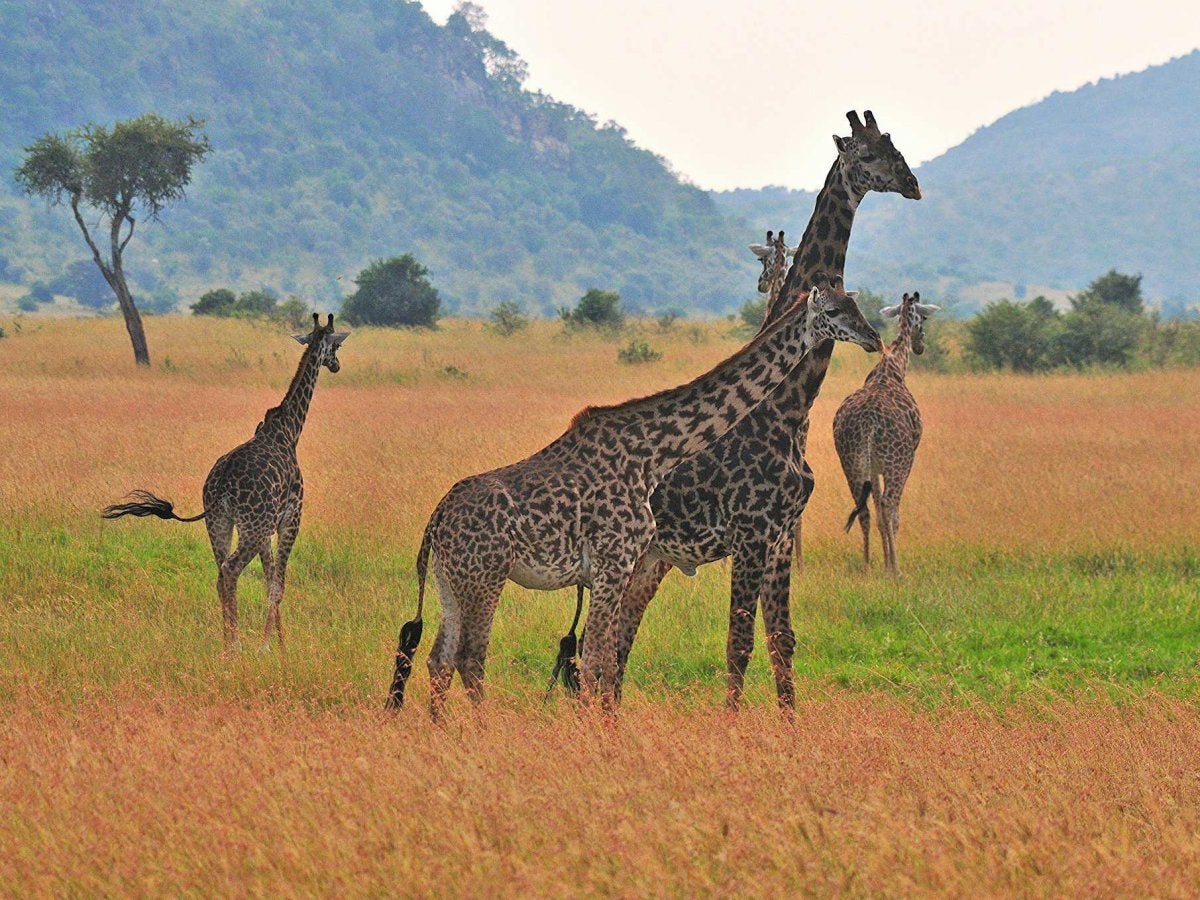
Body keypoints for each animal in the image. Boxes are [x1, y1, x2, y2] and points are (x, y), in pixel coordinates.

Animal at [102, 314, 348, 652]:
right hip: (251, 525)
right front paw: (272, 647)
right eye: (335, 346)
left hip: (221, 522)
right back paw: (236, 646)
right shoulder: (290, 517)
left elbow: (269, 581)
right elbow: (277, 585)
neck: (289, 430)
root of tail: (222, 486)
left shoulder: (265, 529)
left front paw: (277, 643)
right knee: (231, 570)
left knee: (220, 573)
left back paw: (227, 643)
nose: (336, 365)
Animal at [835, 296, 936, 578]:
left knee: (864, 509)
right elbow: (891, 513)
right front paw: (891, 565)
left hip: (852, 461)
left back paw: (867, 565)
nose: (921, 345)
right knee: (890, 504)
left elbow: (878, 511)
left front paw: (883, 562)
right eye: (924, 318)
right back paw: (896, 569)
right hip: (897, 461)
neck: (894, 364)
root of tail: (868, 423)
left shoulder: (873, 466)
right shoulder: (902, 459)